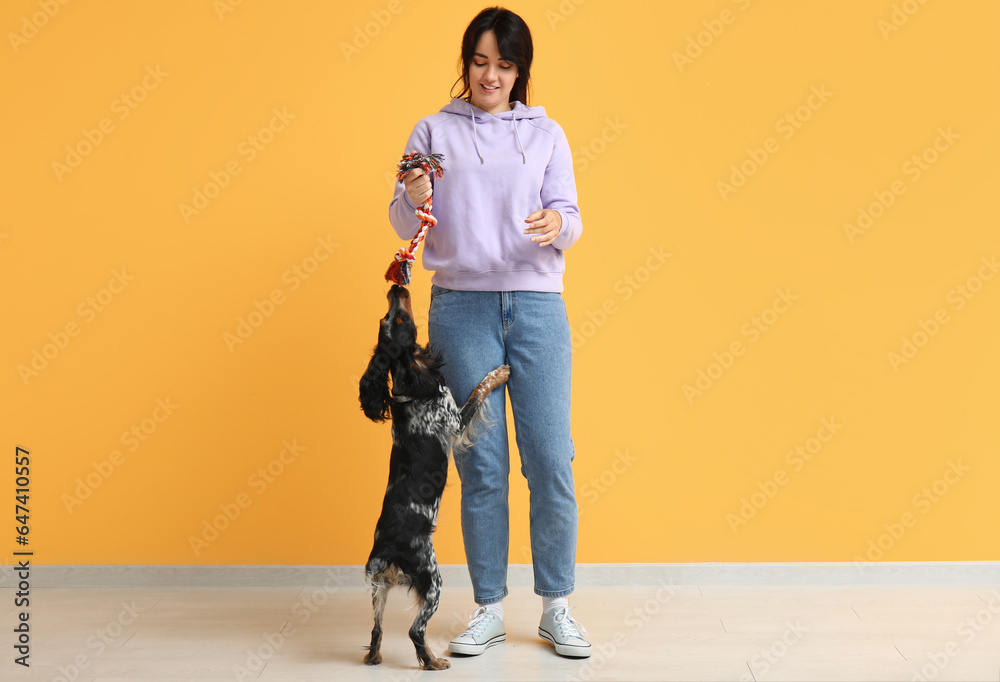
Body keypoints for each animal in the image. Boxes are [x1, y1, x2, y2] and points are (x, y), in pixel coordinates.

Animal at [358, 282, 508, 668]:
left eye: (387, 318)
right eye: (399, 319)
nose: (396, 286)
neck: (410, 386)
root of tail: (387, 553)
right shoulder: (455, 422)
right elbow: (479, 389)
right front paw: (500, 373)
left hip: (380, 590)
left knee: (376, 631)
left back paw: (375, 658)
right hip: (433, 581)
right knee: (415, 631)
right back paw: (435, 662)